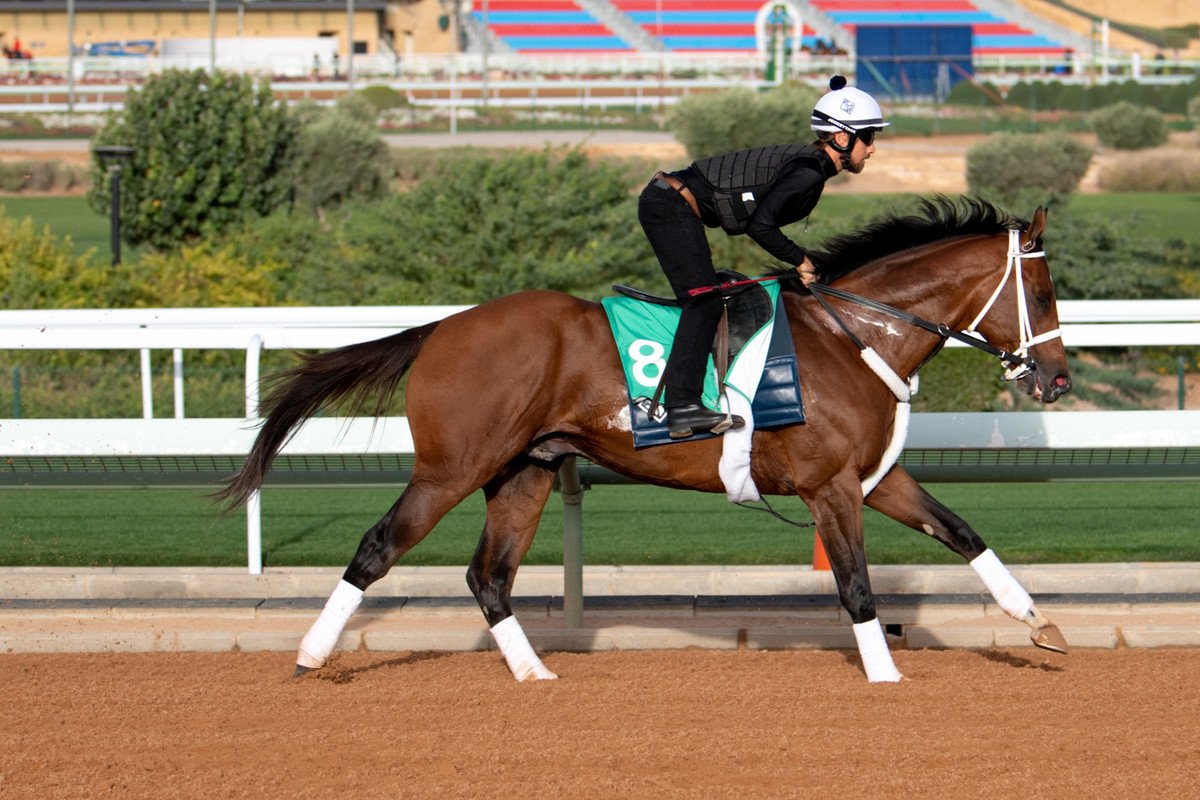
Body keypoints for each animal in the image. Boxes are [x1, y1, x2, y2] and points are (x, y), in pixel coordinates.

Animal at [220, 196, 1075, 686]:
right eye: (1041, 292)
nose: (1058, 380)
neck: (852, 334)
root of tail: (442, 328)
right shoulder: (829, 486)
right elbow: (858, 586)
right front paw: (886, 677)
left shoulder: (868, 477)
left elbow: (963, 532)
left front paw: (1041, 625)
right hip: (451, 467)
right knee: (377, 549)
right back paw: (310, 657)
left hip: (526, 471)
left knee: (487, 577)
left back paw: (535, 674)